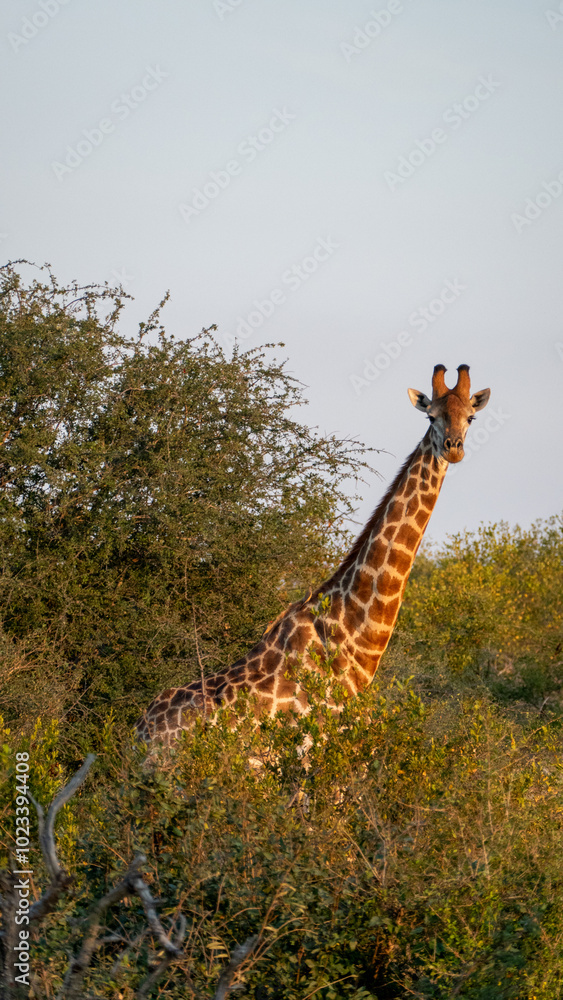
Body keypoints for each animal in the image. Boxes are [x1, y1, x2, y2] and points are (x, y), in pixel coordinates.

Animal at [136, 364, 490, 745]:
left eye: (470, 417)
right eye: (431, 416)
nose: (453, 448)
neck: (352, 640)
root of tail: (139, 732)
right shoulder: (319, 743)